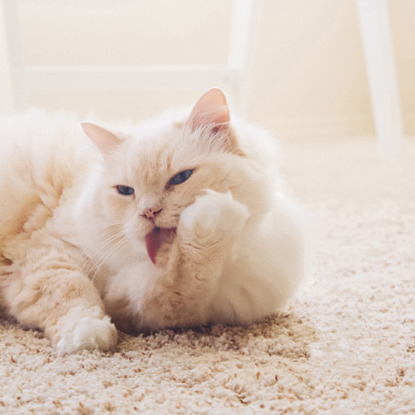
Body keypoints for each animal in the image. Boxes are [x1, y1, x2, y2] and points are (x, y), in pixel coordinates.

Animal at [0, 88, 306, 354]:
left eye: (180, 178)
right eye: (125, 191)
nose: (148, 212)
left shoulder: (145, 306)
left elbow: (180, 287)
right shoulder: (47, 251)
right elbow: (68, 292)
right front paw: (86, 334)